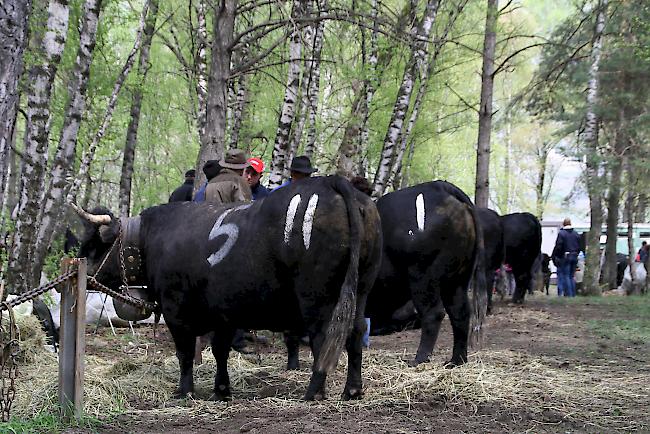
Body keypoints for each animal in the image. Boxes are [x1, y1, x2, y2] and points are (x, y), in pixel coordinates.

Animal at [76, 176, 380, 400]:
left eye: (94, 244)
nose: (84, 272)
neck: (152, 238)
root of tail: (330, 182)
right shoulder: (223, 313)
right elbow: (220, 350)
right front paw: (222, 390)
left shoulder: (176, 310)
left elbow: (185, 352)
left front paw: (184, 391)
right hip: (361, 291)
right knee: (356, 332)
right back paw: (352, 390)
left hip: (316, 297)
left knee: (324, 337)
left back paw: (314, 392)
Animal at [364, 181, 480, 368]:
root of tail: (440, 186)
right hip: (458, 279)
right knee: (460, 312)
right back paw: (456, 361)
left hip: (423, 275)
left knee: (433, 313)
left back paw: (419, 359)